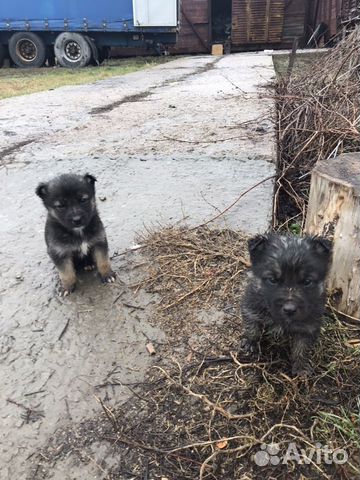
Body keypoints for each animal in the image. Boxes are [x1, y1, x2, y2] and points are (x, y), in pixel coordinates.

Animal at [240, 232, 334, 376]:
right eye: (273, 280)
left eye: (307, 281)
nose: (289, 309)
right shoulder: (251, 306)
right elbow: (252, 327)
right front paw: (251, 343)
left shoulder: (309, 325)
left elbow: (301, 348)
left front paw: (301, 366)